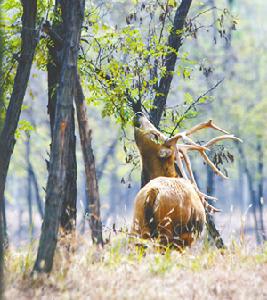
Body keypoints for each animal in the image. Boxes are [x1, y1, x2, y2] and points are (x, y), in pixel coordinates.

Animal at [132, 113, 243, 250]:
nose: (139, 114)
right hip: (169, 230)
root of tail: (153, 192)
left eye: (155, 134)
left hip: (137, 225)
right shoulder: (187, 239)